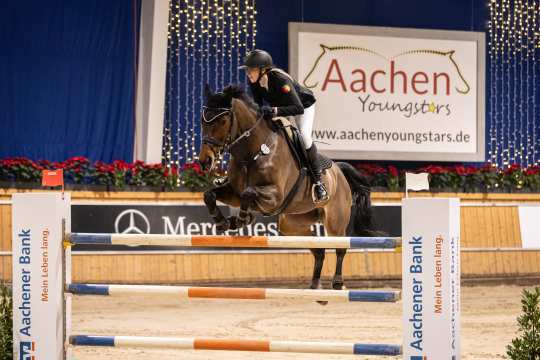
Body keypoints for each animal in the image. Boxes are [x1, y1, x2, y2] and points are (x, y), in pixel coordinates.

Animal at [196, 86, 378, 292]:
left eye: (222, 121)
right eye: (202, 120)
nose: (205, 161)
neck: (253, 152)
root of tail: (339, 172)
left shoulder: (275, 197)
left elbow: (249, 193)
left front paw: (241, 219)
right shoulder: (234, 192)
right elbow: (210, 194)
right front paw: (224, 222)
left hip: (335, 219)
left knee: (340, 247)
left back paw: (338, 282)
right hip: (292, 223)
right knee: (318, 248)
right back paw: (314, 285)